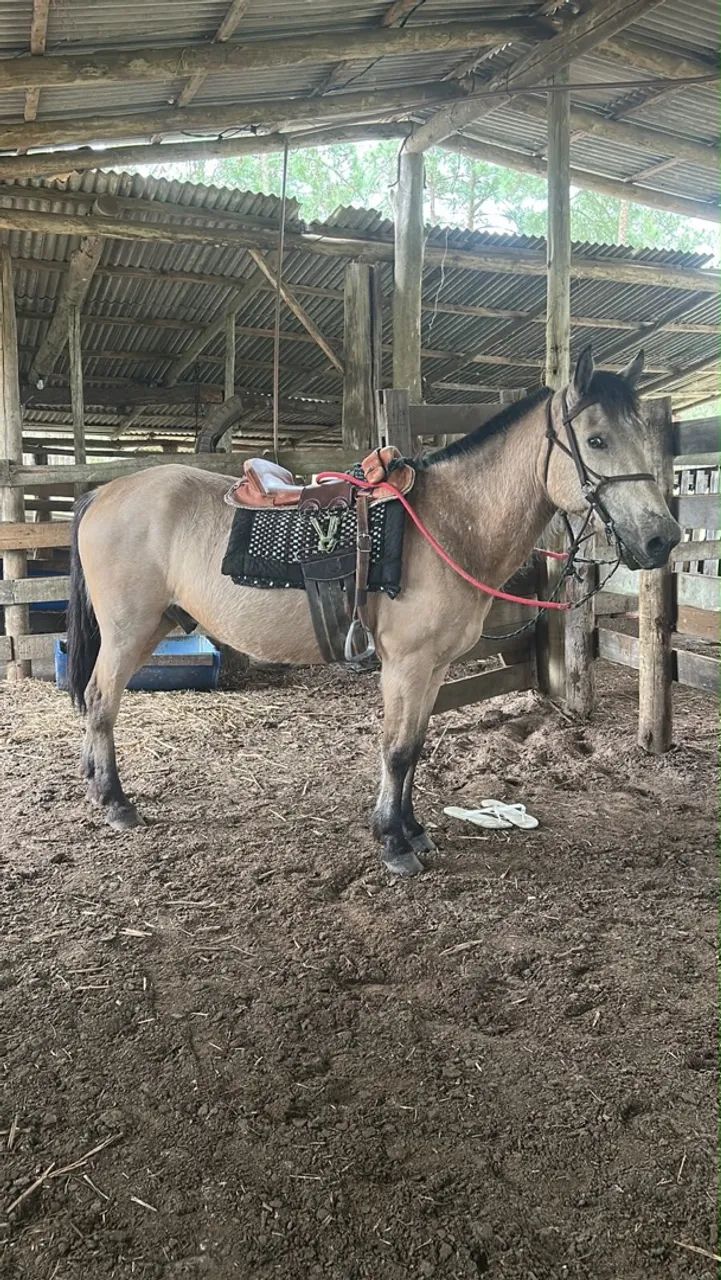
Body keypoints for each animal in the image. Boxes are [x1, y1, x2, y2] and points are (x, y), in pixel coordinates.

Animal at [65, 347, 680, 876]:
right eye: (596, 439)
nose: (663, 539)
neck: (449, 525)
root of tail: (103, 493)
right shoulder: (406, 664)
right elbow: (398, 749)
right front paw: (392, 841)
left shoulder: (433, 666)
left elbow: (417, 746)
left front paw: (414, 829)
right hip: (128, 632)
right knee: (100, 701)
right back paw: (115, 801)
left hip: (153, 626)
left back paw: (95, 786)